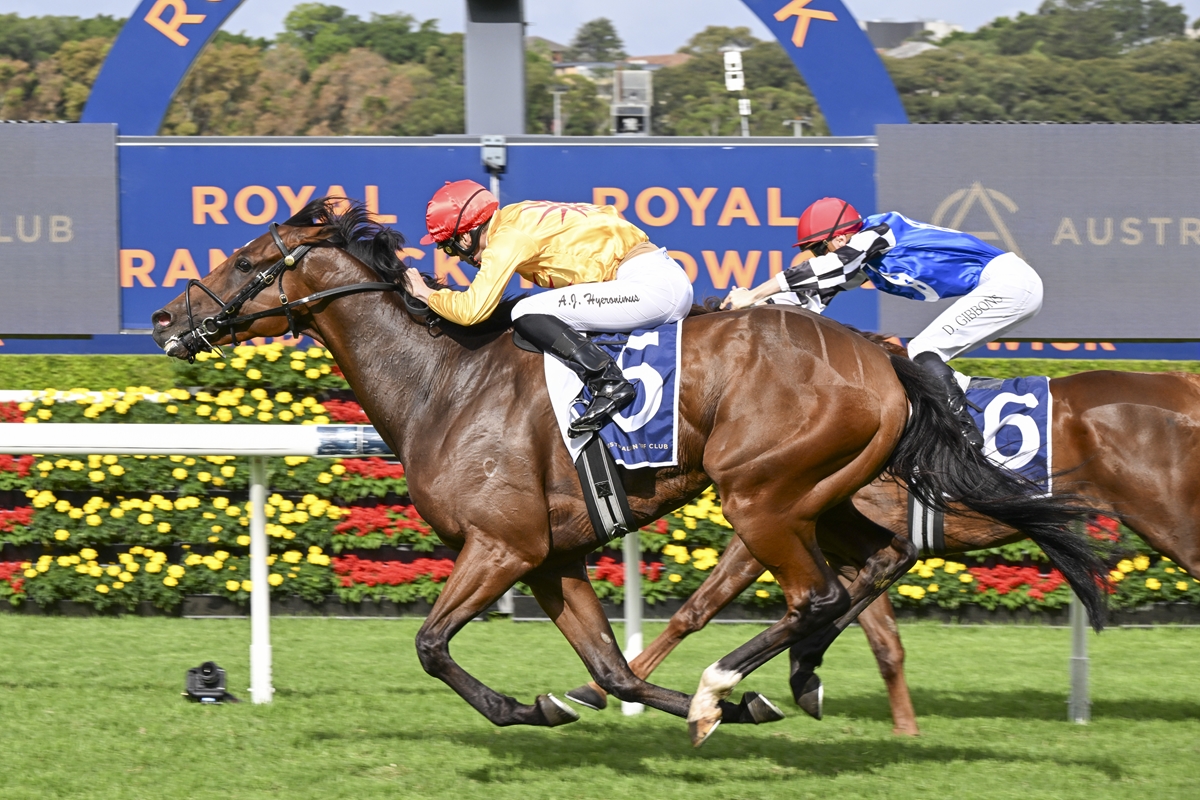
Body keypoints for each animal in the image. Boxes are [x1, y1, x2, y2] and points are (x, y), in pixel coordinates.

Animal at [148, 198, 1107, 746]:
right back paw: (780, 684)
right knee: (866, 573)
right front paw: (584, 702)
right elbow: (611, 669)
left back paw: (727, 687)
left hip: (761, 495)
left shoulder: (499, 546)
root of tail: (885, 356)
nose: (164, 317)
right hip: (828, 497)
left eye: (245, 261)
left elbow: (430, 645)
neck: (444, 384)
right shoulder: (551, 558)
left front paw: (530, 708)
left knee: (817, 595)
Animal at [567, 364, 1200, 735]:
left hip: (1174, 524)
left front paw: (595, 690)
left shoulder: (775, 523)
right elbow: (881, 637)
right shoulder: (843, 537)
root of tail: (1184, 382)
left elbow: (697, 610)